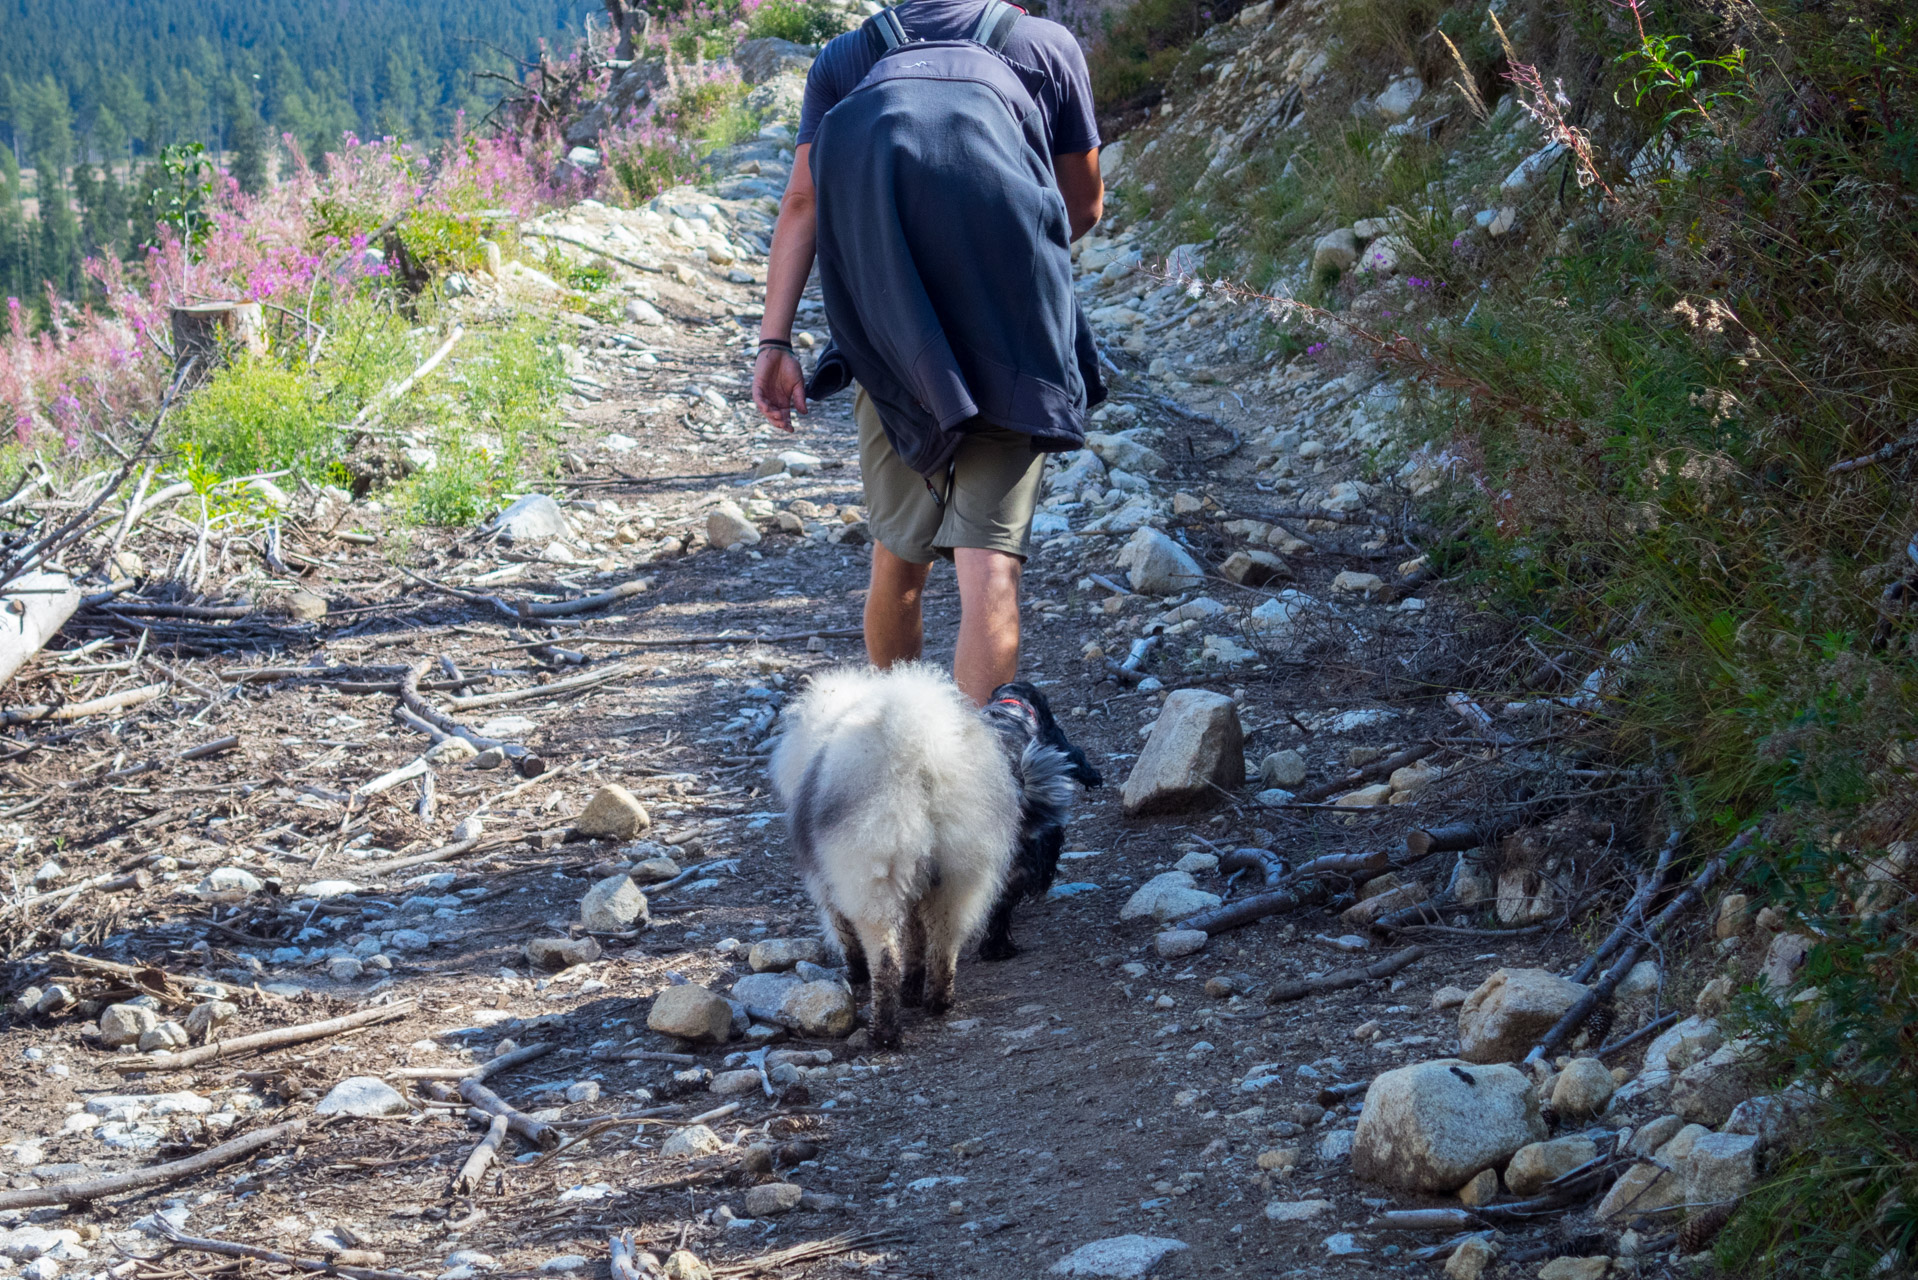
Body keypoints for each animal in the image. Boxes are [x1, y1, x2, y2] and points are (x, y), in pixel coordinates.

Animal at [763, 667, 1097, 1043]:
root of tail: (919, 756)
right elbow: (916, 940)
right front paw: (913, 985)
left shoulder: (829, 888)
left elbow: (849, 936)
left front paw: (860, 975)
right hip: (960, 877)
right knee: (944, 944)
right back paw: (938, 999)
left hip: (874, 883)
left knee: (886, 961)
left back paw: (885, 1033)